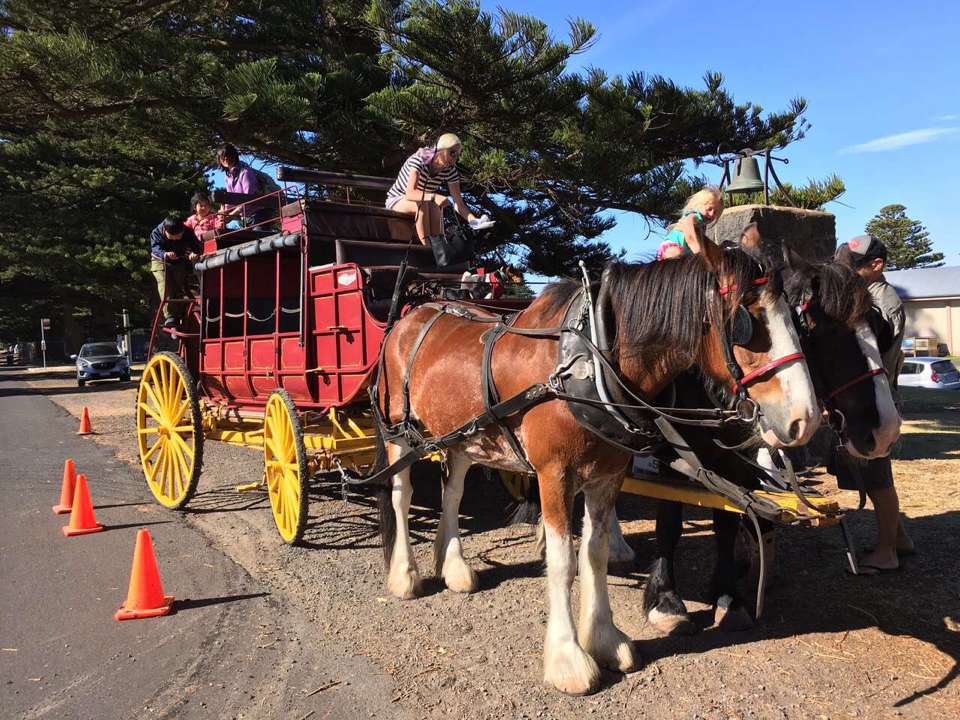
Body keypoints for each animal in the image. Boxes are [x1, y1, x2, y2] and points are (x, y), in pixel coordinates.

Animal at [376, 243, 816, 696]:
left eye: (796, 316)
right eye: (747, 320)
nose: (805, 419)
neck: (587, 363)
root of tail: (411, 315)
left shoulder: (606, 476)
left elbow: (595, 553)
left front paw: (604, 639)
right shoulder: (553, 475)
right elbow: (563, 562)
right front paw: (568, 658)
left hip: (462, 434)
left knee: (453, 491)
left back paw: (454, 567)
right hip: (399, 431)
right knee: (402, 495)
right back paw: (405, 575)